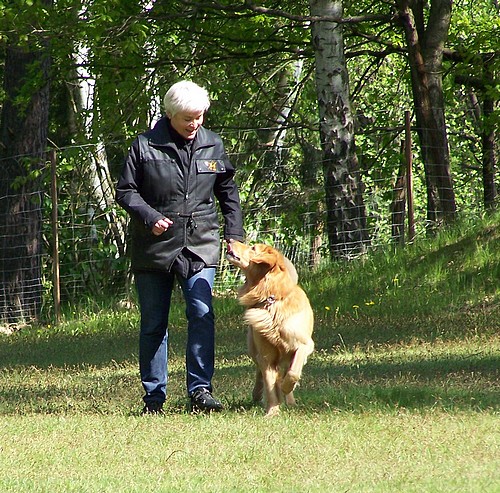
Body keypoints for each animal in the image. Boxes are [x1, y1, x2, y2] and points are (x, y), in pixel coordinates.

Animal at [226, 238, 312, 416]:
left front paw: (286, 388)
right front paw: (272, 412)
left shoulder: (305, 345)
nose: (229, 239)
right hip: (254, 349)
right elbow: (270, 384)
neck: (271, 299)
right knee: (260, 373)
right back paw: (258, 395)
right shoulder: (266, 356)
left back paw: (290, 401)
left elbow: (293, 373)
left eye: (253, 248)